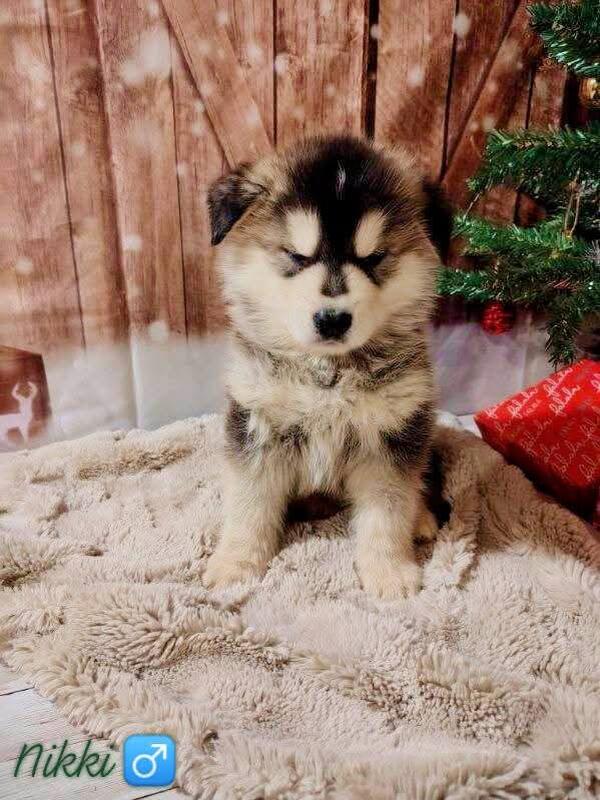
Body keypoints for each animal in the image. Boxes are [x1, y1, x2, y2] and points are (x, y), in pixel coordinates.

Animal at [203, 135, 452, 599]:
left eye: (374, 258)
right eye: (296, 256)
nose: (333, 319)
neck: (328, 371)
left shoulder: (393, 432)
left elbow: (388, 511)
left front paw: (389, 572)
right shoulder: (256, 422)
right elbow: (248, 502)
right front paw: (236, 563)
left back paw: (422, 519)